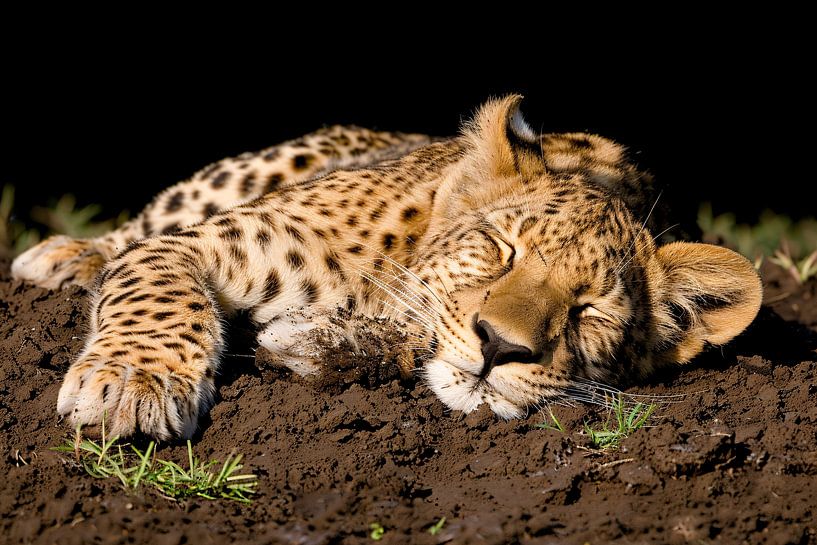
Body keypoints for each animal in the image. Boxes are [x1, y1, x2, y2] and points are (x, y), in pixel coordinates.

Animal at [12, 95, 763, 439]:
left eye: (590, 310)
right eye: (500, 249)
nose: (502, 347)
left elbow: (410, 339)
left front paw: (321, 344)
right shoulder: (203, 244)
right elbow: (157, 293)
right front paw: (132, 385)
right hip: (244, 174)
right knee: (137, 226)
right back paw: (62, 257)